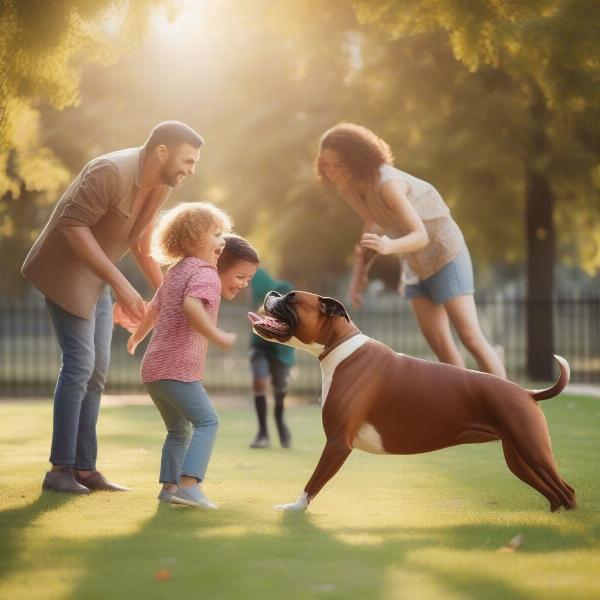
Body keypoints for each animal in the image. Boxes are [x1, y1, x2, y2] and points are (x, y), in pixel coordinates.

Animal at [248, 290, 576, 510]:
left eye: (291, 299)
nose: (272, 293)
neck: (340, 346)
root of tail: (526, 392)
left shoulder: (338, 443)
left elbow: (313, 483)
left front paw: (294, 508)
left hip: (534, 452)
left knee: (567, 492)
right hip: (520, 460)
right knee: (557, 494)